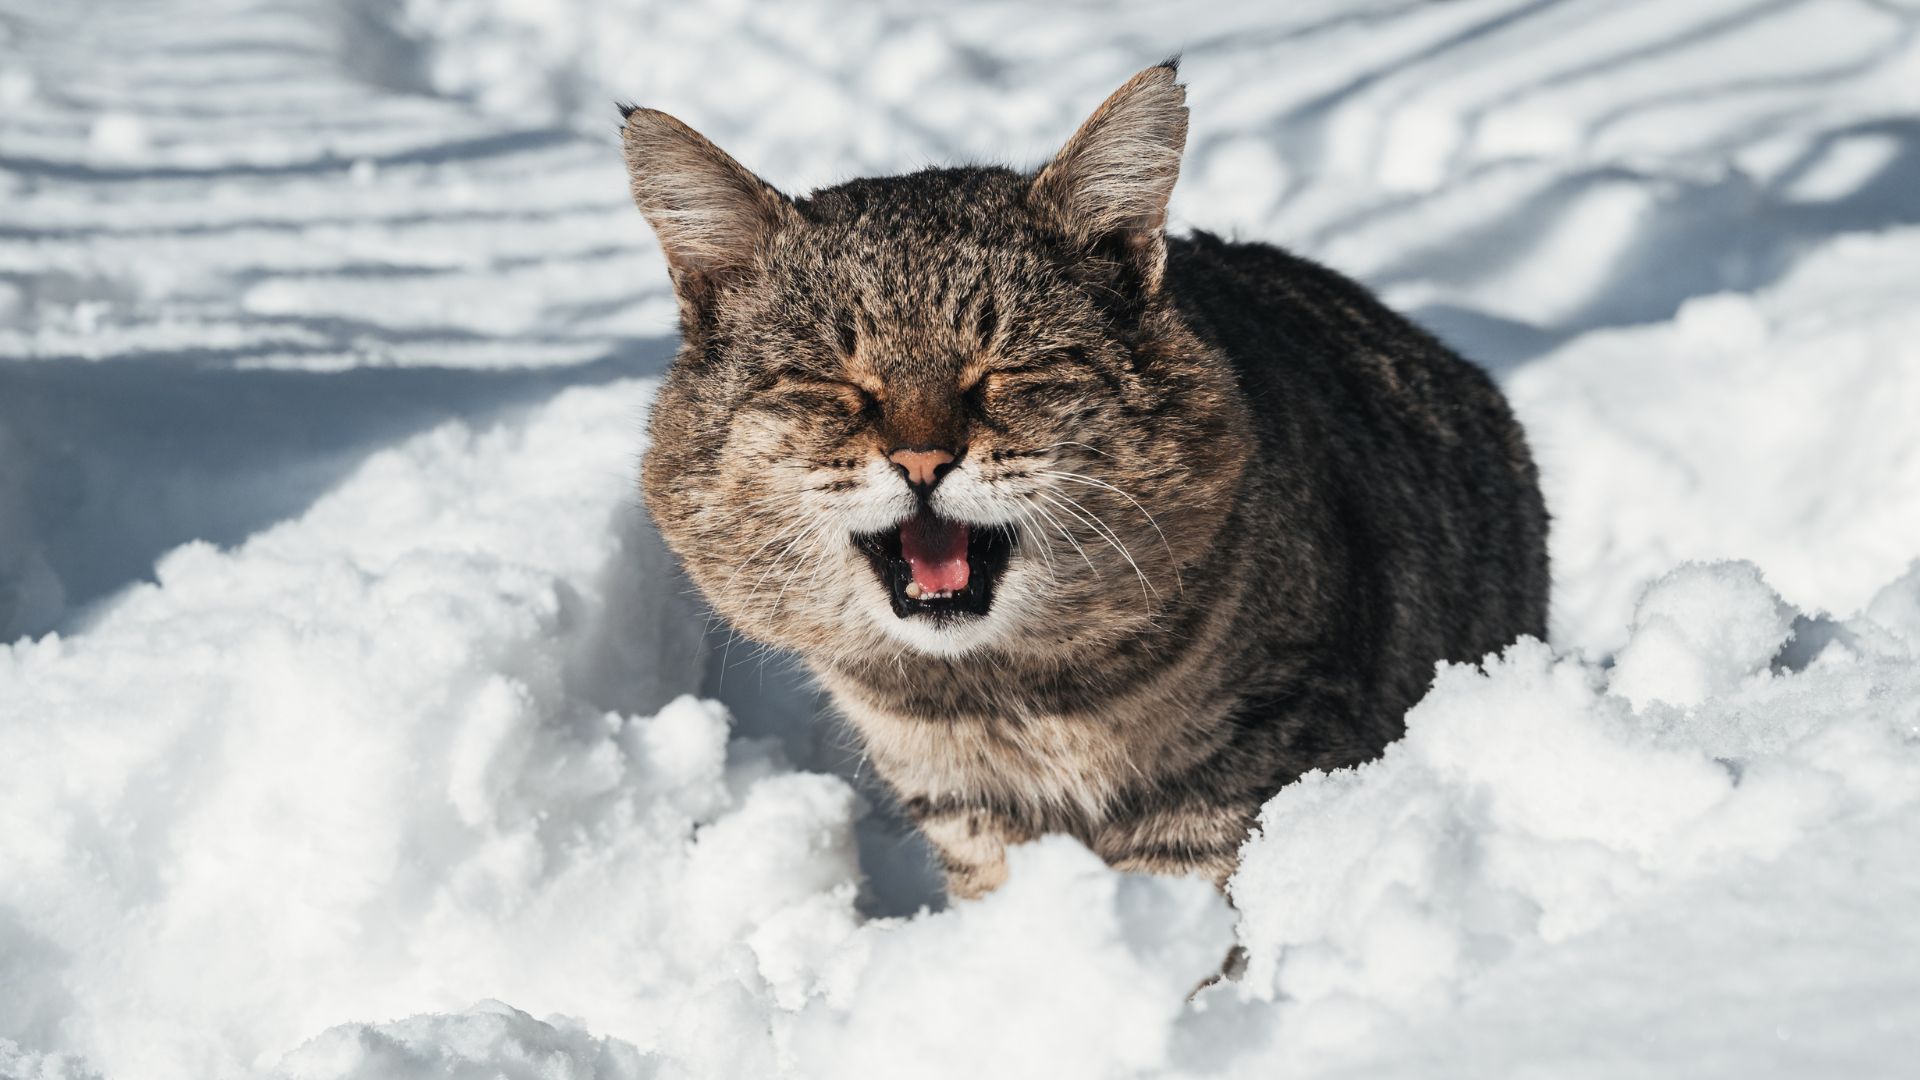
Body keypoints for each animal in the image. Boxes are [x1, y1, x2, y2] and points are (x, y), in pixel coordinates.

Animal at [622, 61, 1551, 899]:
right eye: (833, 381)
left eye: (1007, 367)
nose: (923, 460)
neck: (1010, 696)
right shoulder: (970, 815)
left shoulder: (1235, 783)